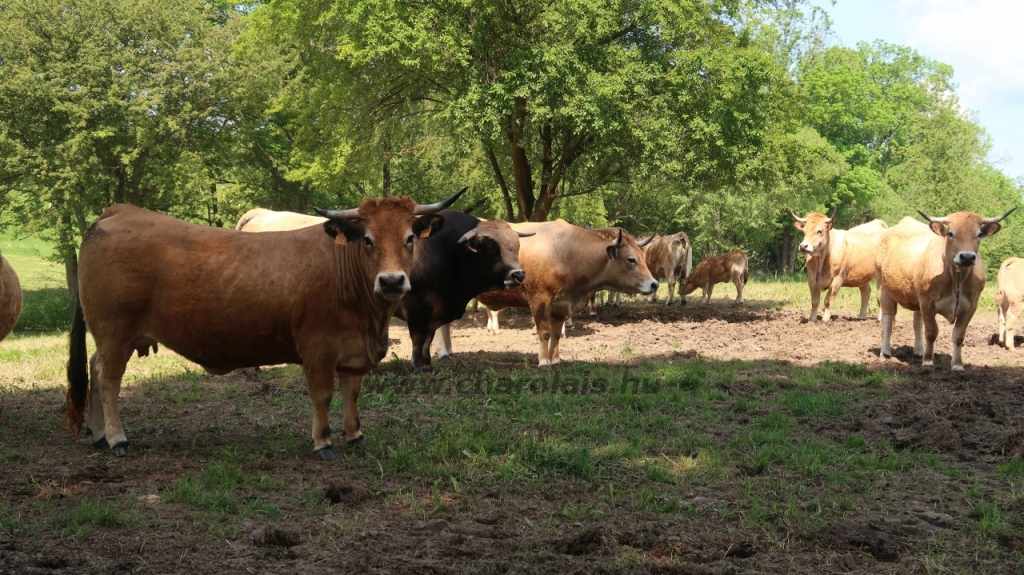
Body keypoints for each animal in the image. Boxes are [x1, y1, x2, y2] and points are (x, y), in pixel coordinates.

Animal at [67, 190, 460, 458]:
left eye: (410, 237)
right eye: (368, 239)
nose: (392, 281)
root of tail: (119, 211)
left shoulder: (353, 351)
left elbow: (351, 393)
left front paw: (355, 435)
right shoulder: (318, 347)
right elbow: (322, 394)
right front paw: (323, 441)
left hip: (115, 337)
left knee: (95, 369)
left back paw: (98, 433)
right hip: (114, 332)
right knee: (107, 378)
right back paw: (116, 437)